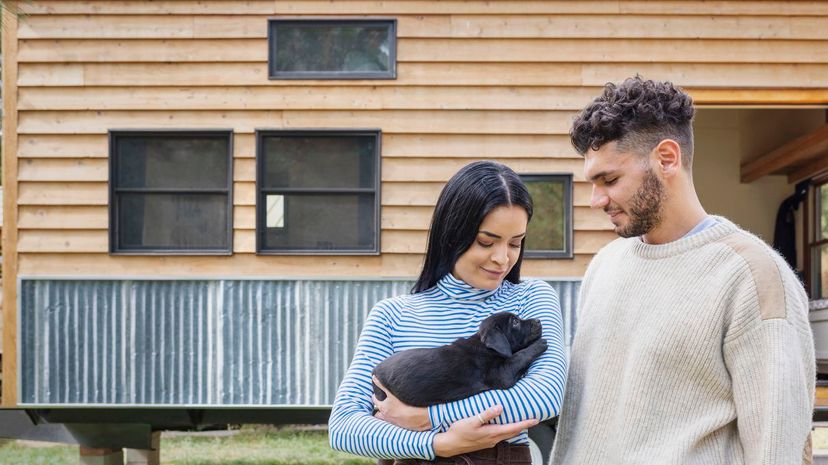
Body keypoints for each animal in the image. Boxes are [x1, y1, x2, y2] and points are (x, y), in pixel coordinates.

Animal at [372, 312, 548, 406]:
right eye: (515, 322)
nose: (539, 320)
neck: (485, 347)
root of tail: (374, 370)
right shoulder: (500, 375)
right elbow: (517, 356)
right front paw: (539, 344)